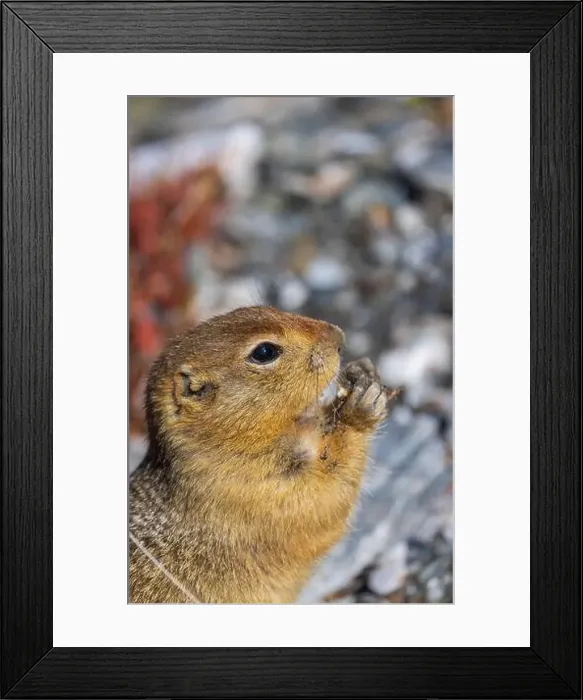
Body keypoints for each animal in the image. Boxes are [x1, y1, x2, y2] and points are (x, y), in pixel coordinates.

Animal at [129, 306, 389, 603]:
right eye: (264, 352)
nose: (339, 336)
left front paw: (363, 372)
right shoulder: (252, 493)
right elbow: (324, 497)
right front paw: (359, 408)